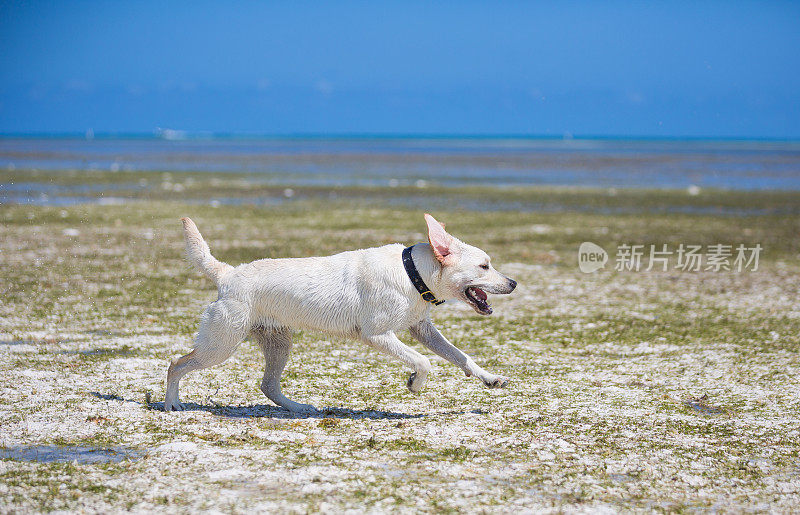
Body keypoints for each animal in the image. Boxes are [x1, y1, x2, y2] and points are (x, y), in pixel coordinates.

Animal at [165, 212, 516, 414]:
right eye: (484, 266)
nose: (513, 283)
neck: (412, 272)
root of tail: (227, 273)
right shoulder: (379, 335)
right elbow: (424, 361)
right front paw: (415, 383)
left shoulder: (422, 329)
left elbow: (461, 357)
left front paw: (490, 378)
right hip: (221, 345)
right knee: (175, 364)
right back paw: (171, 404)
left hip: (278, 343)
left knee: (268, 386)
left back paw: (300, 408)